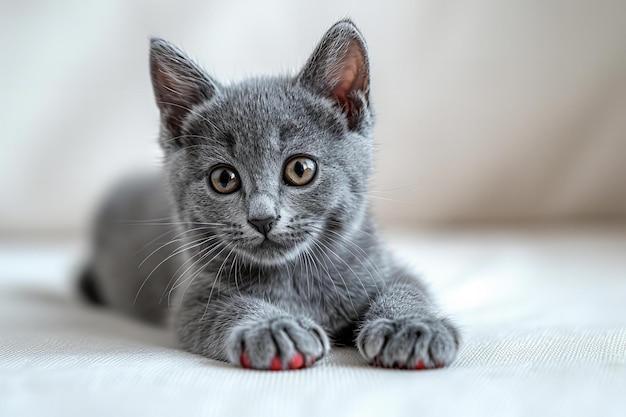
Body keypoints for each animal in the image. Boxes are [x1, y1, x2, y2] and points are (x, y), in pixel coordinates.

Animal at [80, 20, 456, 370]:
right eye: (223, 178)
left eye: (300, 169)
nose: (262, 218)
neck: (294, 277)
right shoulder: (192, 297)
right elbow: (227, 306)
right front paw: (276, 329)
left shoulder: (387, 265)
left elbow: (407, 288)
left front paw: (411, 327)